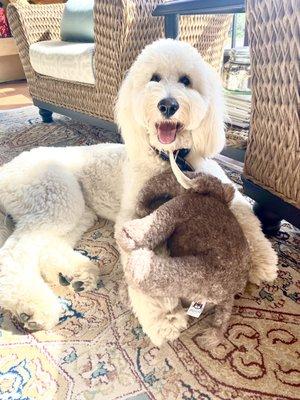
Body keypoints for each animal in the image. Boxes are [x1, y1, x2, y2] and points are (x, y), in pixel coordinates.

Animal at [0, 39, 276, 344]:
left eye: (186, 80)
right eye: (154, 78)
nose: (167, 104)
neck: (170, 157)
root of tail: (7, 168)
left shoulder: (225, 189)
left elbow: (246, 215)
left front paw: (263, 261)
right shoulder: (135, 214)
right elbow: (141, 261)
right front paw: (163, 318)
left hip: (76, 212)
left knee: (47, 249)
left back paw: (78, 276)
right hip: (56, 198)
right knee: (14, 253)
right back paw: (33, 308)